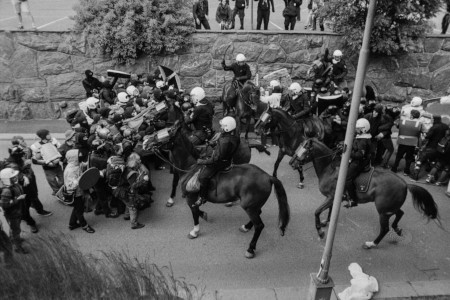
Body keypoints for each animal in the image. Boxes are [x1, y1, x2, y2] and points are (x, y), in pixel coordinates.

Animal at [146, 122, 290, 258]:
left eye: (168, 131)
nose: (145, 141)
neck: (190, 167)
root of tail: (268, 176)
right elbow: (197, 211)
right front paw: (203, 215)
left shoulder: (191, 198)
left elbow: (194, 213)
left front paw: (195, 231)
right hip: (253, 206)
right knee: (258, 214)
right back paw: (246, 227)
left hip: (248, 206)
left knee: (259, 226)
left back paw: (250, 249)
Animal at [288, 138, 440, 248]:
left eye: (304, 149)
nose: (291, 163)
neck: (329, 169)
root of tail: (404, 184)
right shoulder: (333, 198)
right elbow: (330, 210)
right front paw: (327, 222)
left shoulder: (331, 197)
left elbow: (317, 212)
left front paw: (320, 232)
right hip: (389, 207)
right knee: (400, 214)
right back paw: (397, 229)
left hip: (383, 211)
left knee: (385, 229)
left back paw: (372, 243)